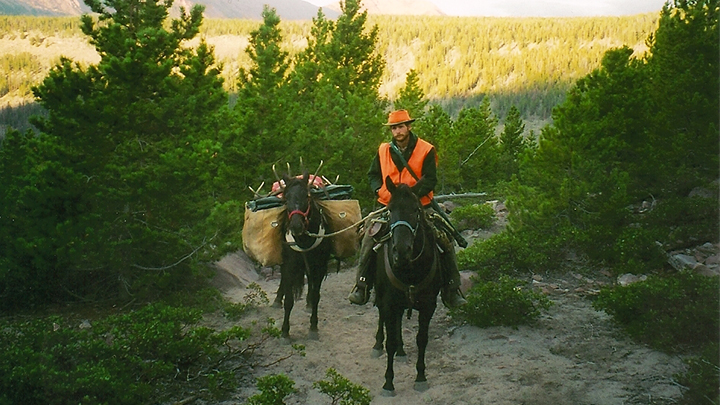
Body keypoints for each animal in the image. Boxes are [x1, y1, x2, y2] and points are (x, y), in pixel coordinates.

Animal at [276, 171, 332, 340]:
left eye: (307, 196)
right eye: (286, 198)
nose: (296, 226)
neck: (305, 240)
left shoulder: (320, 265)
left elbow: (316, 296)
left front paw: (313, 328)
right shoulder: (289, 265)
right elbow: (289, 300)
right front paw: (285, 331)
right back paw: (277, 300)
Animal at [374, 176, 442, 394]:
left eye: (415, 210)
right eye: (390, 210)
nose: (401, 251)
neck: (409, 270)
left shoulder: (428, 305)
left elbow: (422, 339)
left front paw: (420, 377)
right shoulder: (389, 303)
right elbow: (390, 341)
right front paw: (388, 382)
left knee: (399, 320)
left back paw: (402, 349)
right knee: (382, 317)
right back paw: (377, 344)